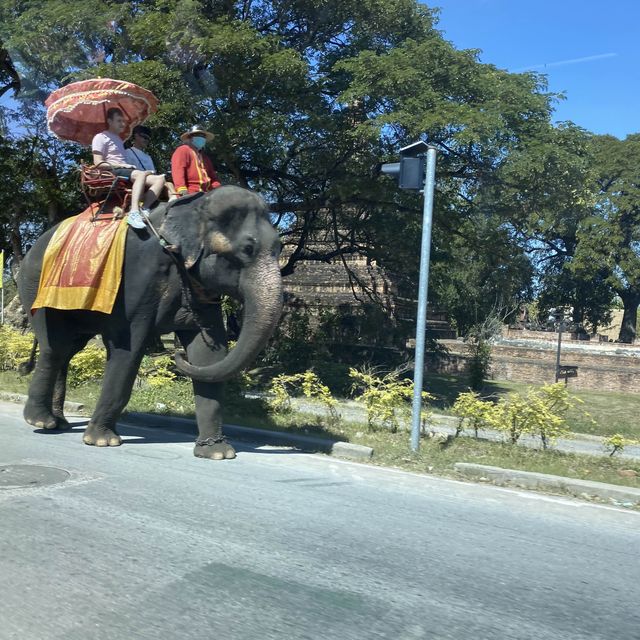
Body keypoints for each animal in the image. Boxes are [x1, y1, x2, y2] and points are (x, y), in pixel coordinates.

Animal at [16, 185, 282, 460]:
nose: (177, 354)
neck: (193, 207)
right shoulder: (137, 278)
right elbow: (128, 350)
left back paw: (59, 422)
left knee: (69, 349)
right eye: (247, 249)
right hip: (35, 286)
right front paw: (102, 441)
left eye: (280, 248)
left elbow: (209, 356)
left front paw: (217, 453)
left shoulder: (200, 290)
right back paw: (41, 421)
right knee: (55, 345)